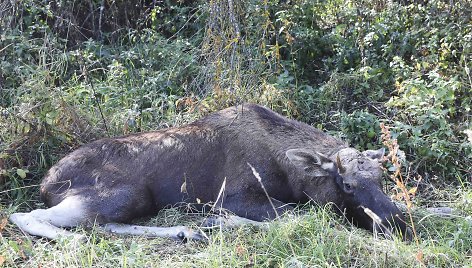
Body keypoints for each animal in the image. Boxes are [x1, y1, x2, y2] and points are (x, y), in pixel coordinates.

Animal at [9, 103, 408, 241]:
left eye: (381, 178)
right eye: (348, 185)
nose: (397, 221)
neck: (292, 175)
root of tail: (45, 181)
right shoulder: (233, 196)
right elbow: (296, 216)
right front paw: (217, 221)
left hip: (131, 201)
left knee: (103, 224)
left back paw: (185, 231)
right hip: (124, 193)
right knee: (24, 215)